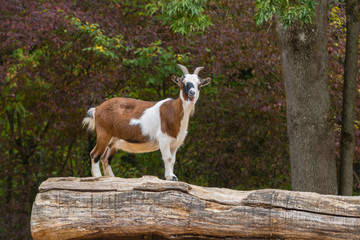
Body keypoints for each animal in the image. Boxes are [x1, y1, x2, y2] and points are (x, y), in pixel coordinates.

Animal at [82, 64, 211, 181]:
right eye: (183, 82)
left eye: (199, 84)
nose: (192, 93)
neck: (174, 111)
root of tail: (97, 109)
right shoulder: (163, 139)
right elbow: (168, 158)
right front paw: (170, 177)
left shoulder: (175, 143)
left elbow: (173, 160)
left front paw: (172, 176)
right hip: (104, 133)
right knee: (95, 154)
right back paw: (97, 177)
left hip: (113, 140)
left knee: (105, 158)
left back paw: (112, 177)